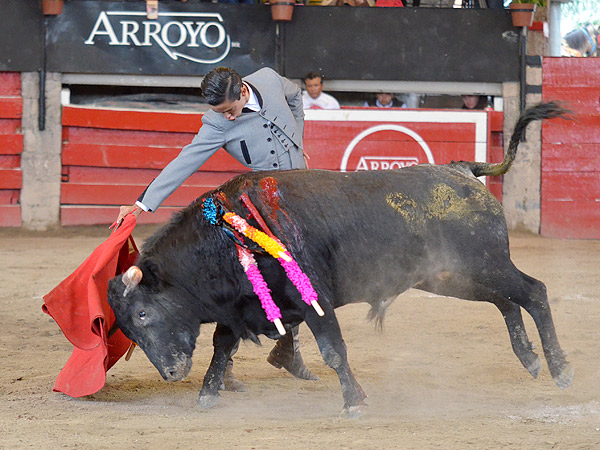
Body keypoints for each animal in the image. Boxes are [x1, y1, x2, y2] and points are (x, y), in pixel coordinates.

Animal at [106, 102, 572, 414]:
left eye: (143, 315)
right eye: (126, 329)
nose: (170, 373)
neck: (225, 233)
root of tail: (461, 171)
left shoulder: (314, 299)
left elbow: (332, 349)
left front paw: (354, 401)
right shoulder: (241, 304)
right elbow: (222, 345)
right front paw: (207, 393)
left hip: (486, 265)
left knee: (533, 291)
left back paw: (560, 369)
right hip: (452, 277)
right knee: (506, 302)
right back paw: (531, 360)